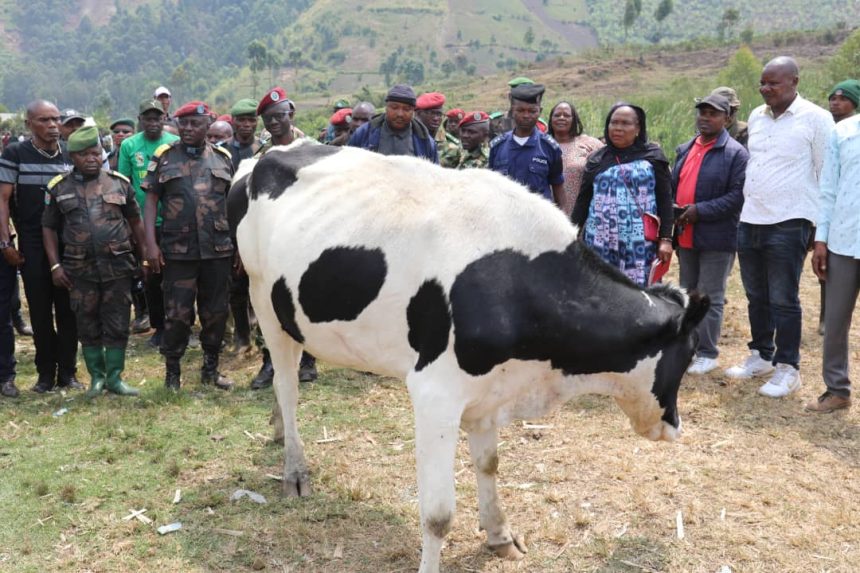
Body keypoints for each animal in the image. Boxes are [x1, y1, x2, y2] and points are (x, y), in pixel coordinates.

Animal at [228, 141, 704, 572]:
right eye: (688, 354)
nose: (675, 427)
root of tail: (268, 153)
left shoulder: (490, 390)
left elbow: (489, 464)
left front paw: (500, 535)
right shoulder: (435, 394)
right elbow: (438, 514)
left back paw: (276, 430)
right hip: (264, 301)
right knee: (286, 384)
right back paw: (295, 469)